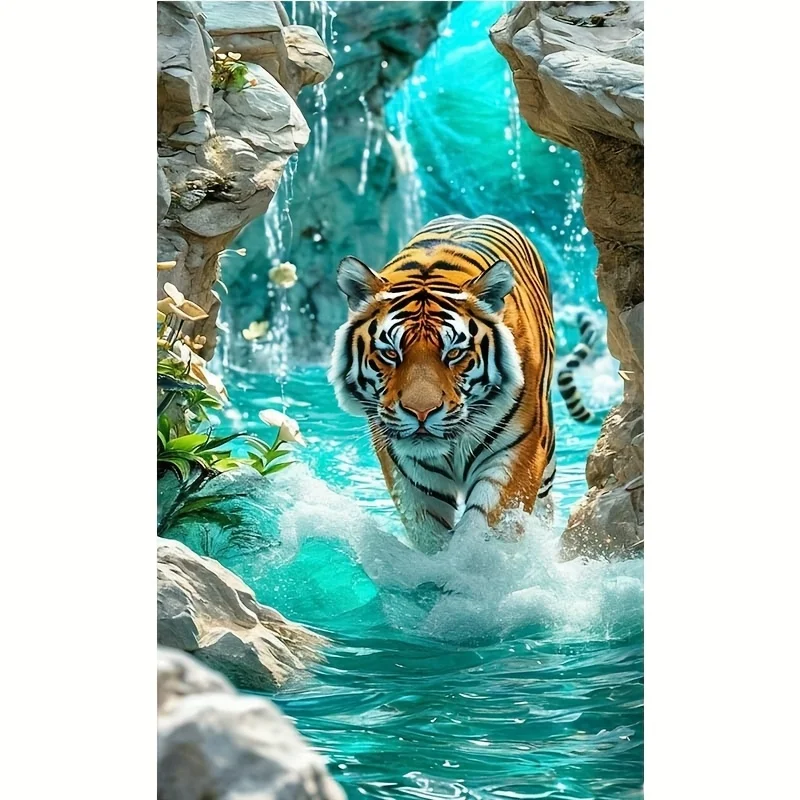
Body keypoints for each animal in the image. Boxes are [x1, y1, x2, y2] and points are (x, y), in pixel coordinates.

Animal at [329, 214, 595, 554]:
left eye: (454, 353)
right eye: (390, 353)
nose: (421, 413)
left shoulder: (517, 453)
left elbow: (484, 529)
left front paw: (468, 563)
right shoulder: (407, 468)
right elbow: (429, 532)